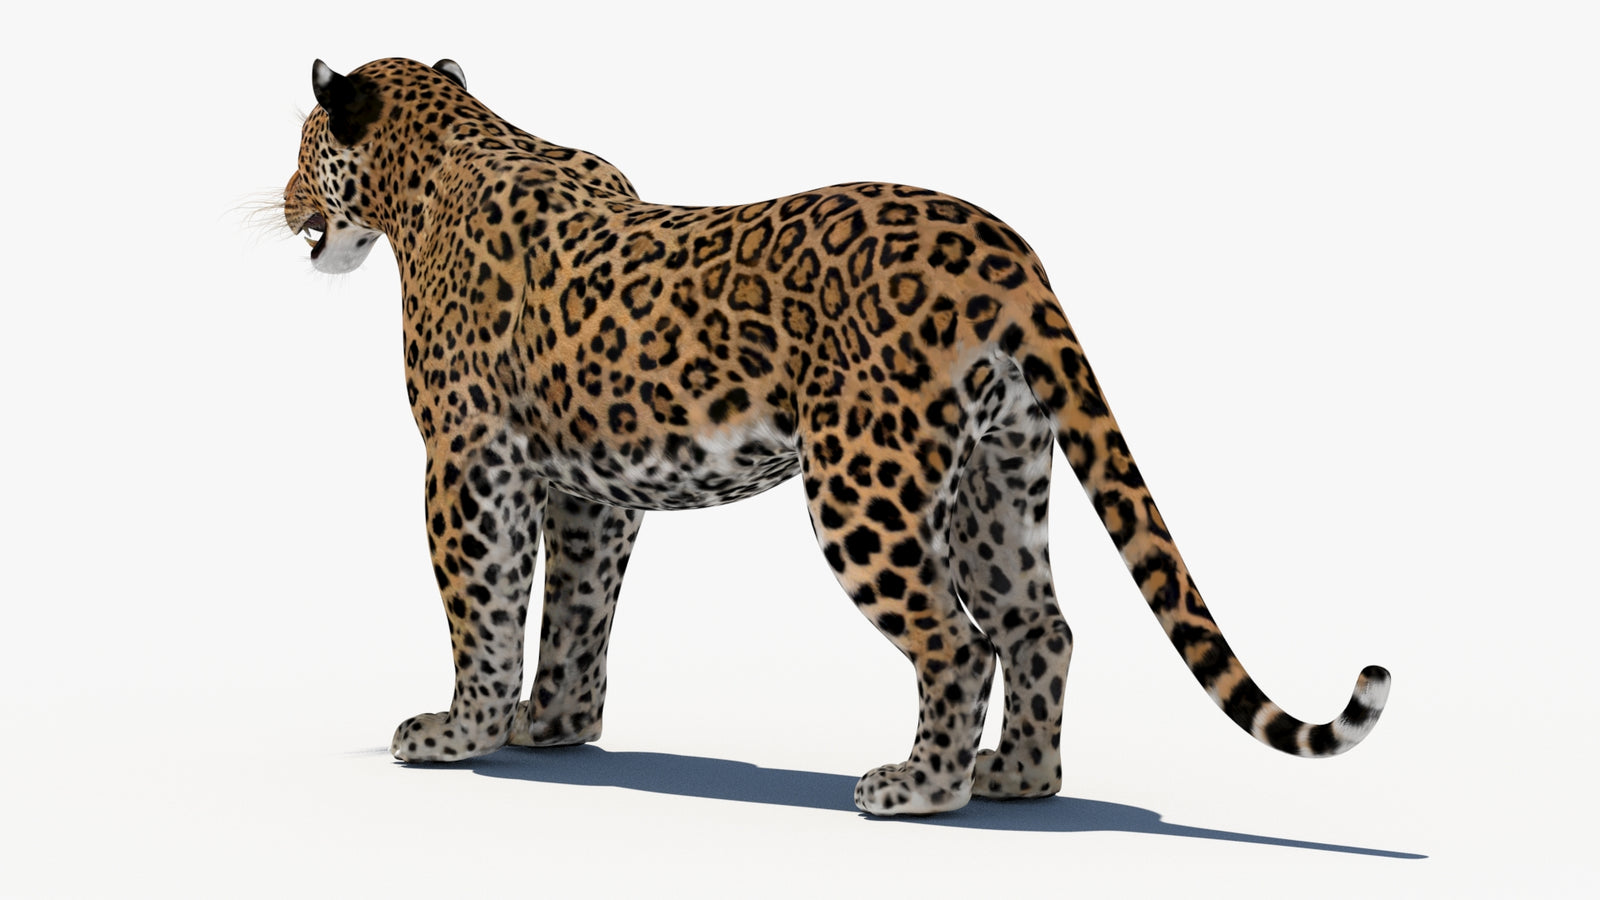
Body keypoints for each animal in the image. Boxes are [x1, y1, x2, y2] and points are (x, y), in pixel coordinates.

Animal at [281, 57, 1390, 816]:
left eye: (301, 148)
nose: (285, 199)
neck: (440, 156)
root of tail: (1006, 251)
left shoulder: (468, 464)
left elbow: (483, 603)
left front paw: (458, 731)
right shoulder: (590, 487)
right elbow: (576, 609)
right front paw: (549, 728)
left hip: (865, 484)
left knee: (958, 642)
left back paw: (921, 788)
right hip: (999, 469)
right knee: (1040, 626)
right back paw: (1017, 778)